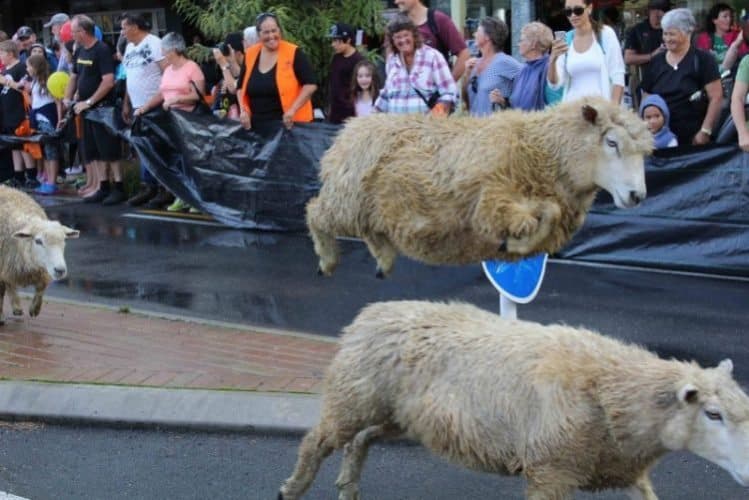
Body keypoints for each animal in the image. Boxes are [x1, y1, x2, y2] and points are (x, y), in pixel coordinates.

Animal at [0, 185, 79, 324]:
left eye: (64, 240)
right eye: (38, 241)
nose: (60, 270)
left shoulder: (40, 271)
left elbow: (42, 287)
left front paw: (35, 309)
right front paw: (0, 316)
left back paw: (17, 307)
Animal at [278, 300, 748, 500]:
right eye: (712, 414)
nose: (747, 471)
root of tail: (372, 310)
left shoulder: (624, 471)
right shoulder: (551, 471)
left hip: (398, 414)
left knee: (361, 440)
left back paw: (348, 487)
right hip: (353, 396)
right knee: (317, 441)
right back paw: (293, 487)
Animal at [306, 97, 652, 278]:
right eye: (611, 142)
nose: (638, 196)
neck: (541, 149)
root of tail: (347, 132)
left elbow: (549, 215)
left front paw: (514, 246)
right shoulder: (491, 204)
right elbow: (543, 214)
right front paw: (513, 244)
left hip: (369, 208)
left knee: (370, 231)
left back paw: (384, 261)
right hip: (345, 199)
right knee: (314, 214)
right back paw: (327, 260)